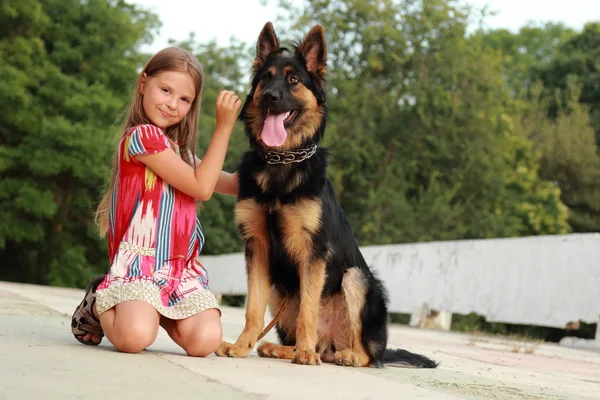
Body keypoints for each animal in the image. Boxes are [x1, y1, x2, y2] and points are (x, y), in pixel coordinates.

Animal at [216, 22, 436, 368]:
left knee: (368, 353)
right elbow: (252, 309)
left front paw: (304, 354)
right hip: (281, 290)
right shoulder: (258, 247)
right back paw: (283, 348)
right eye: (266, 77)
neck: (282, 161)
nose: (269, 96)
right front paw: (240, 347)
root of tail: (332, 343)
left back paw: (341, 354)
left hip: (356, 279)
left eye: (293, 80)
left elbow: (308, 309)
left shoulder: (313, 251)